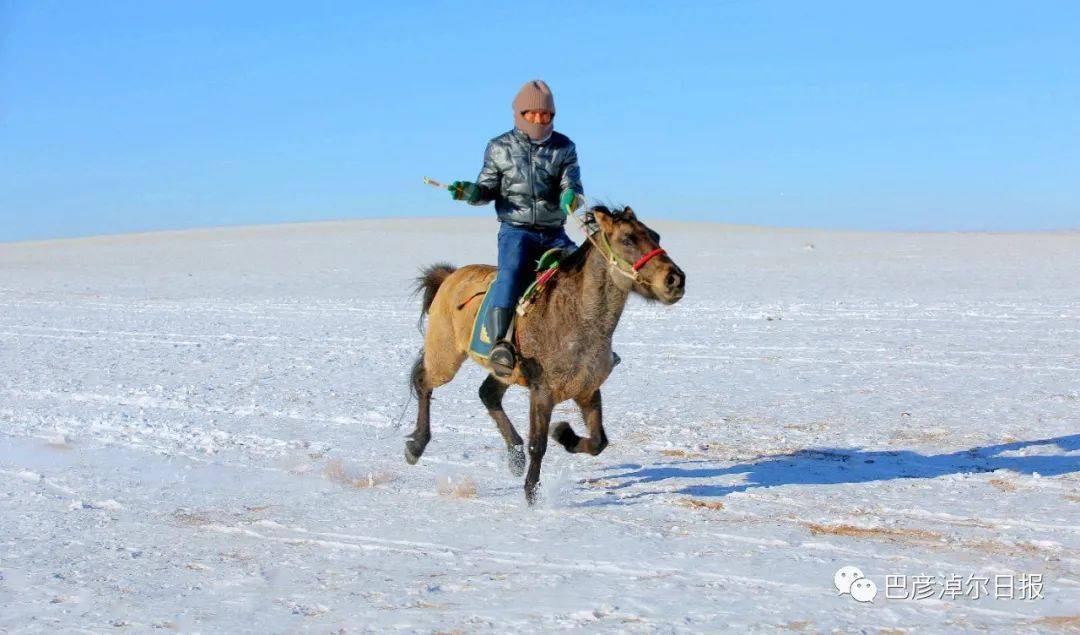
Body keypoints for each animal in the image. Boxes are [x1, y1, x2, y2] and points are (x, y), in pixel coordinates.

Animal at [406, 206, 682, 503]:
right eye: (628, 239)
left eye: (655, 235)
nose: (675, 279)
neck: (577, 318)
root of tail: (450, 275)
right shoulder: (542, 391)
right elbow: (538, 444)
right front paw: (532, 494)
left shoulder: (587, 390)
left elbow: (598, 442)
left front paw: (563, 434)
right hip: (445, 357)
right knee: (423, 382)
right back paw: (415, 447)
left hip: (504, 371)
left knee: (487, 394)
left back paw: (514, 458)